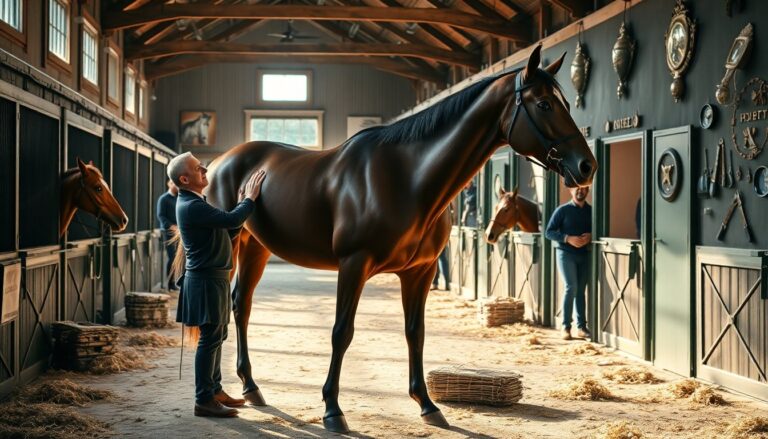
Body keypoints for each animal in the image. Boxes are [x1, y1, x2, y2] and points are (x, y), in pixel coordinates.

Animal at [198, 45, 596, 433]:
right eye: (543, 104)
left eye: (566, 101)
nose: (586, 166)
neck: (407, 178)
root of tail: (218, 163)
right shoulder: (353, 264)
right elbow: (342, 332)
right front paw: (332, 410)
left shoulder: (420, 272)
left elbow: (415, 333)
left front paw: (427, 404)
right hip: (230, 246)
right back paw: (222, 393)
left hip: (256, 248)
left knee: (240, 305)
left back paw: (249, 388)